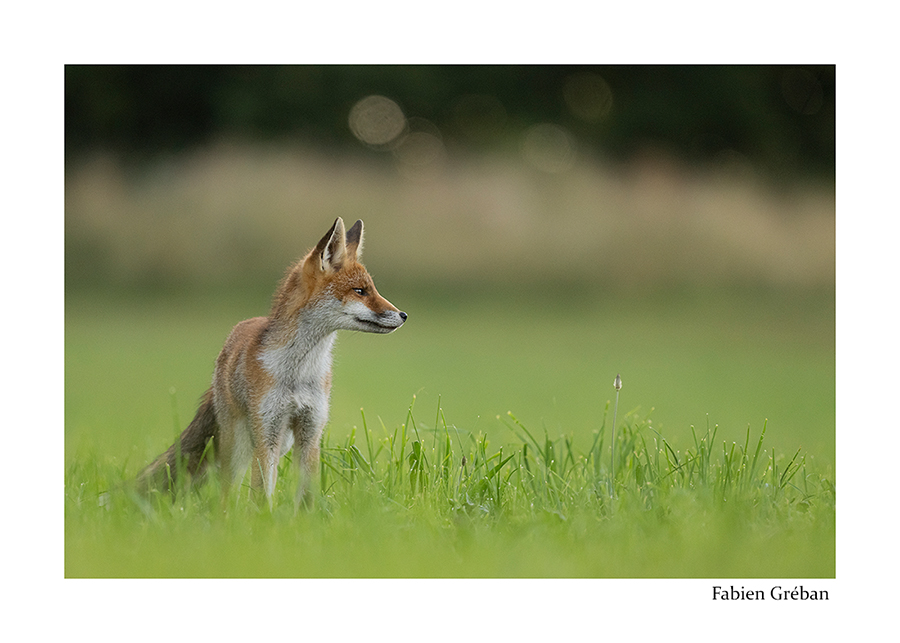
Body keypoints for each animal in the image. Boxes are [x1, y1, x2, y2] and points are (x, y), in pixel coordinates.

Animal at [135, 217, 406, 508]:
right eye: (360, 291)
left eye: (372, 289)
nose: (403, 315)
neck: (299, 373)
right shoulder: (267, 433)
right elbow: (261, 497)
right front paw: (264, 519)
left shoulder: (310, 432)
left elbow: (305, 496)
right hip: (241, 445)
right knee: (227, 490)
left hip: (282, 441)